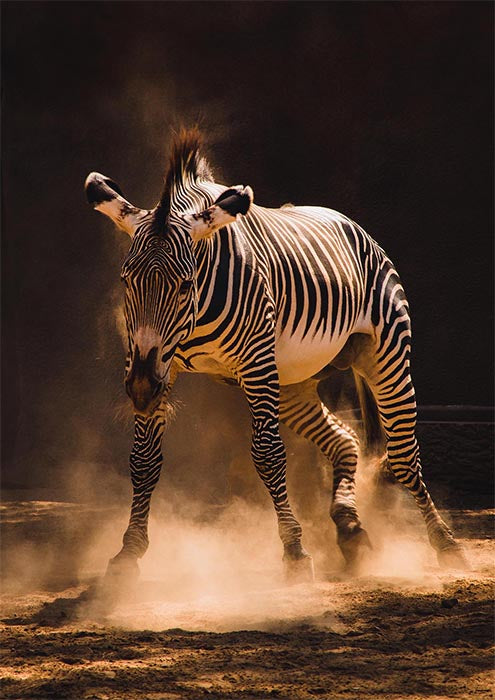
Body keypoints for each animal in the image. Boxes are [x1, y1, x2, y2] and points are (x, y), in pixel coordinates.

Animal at [85, 128, 466, 584]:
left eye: (184, 285)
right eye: (127, 282)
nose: (141, 390)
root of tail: (351, 223)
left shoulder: (254, 361)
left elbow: (267, 454)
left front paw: (295, 551)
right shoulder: (157, 362)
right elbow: (144, 461)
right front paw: (128, 552)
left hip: (383, 354)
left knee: (404, 457)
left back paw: (446, 543)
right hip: (291, 383)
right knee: (345, 439)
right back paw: (351, 529)